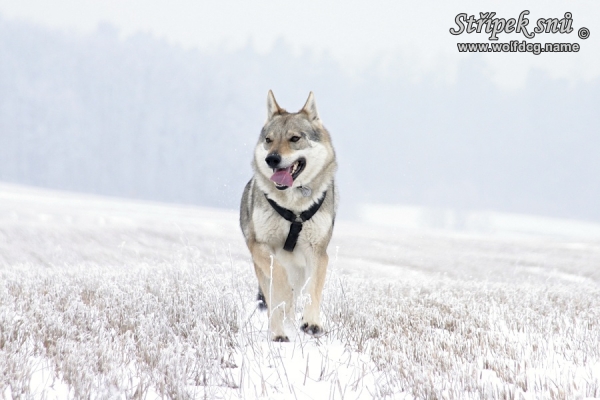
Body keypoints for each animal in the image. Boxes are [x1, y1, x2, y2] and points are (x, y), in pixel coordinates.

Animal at [241, 92, 340, 342]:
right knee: (274, 301)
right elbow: (279, 281)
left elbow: (314, 290)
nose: (272, 159)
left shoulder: (318, 252)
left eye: (295, 138)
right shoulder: (260, 246)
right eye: (269, 140)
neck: (293, 208)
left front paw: (312, 322)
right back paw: (278, 334)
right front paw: (285, 301)